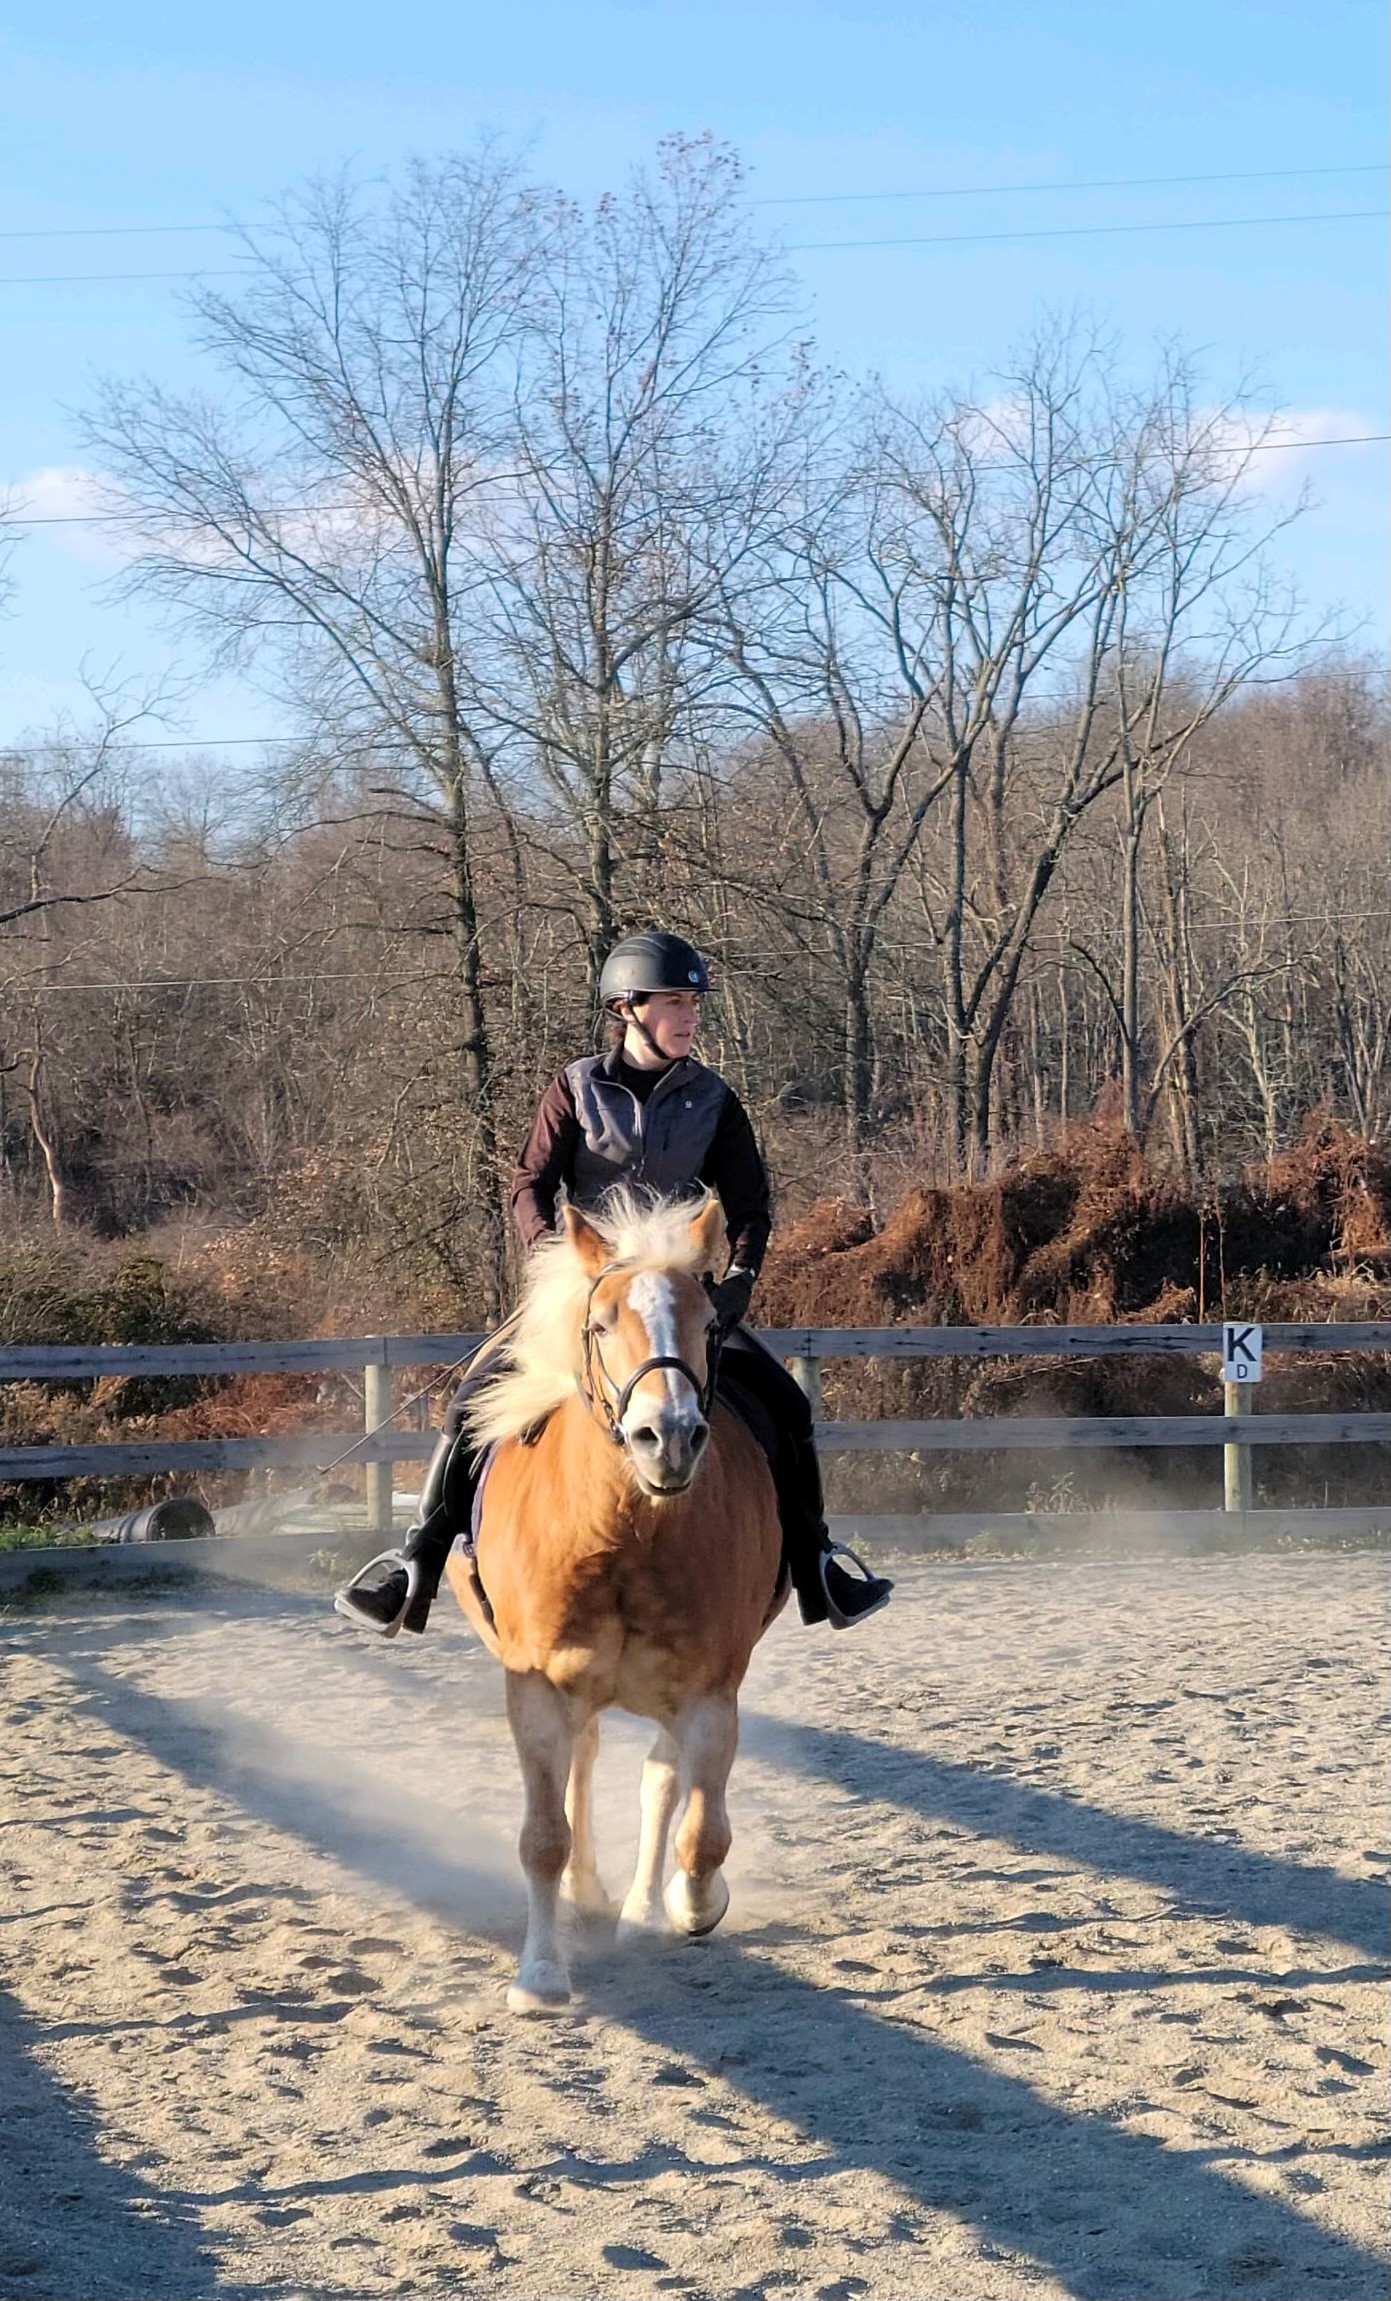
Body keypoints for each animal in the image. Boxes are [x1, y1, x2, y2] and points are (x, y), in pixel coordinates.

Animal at [442, 1189, 787, 2014]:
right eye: (600, 1324)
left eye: (708, 1323)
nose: (668, 1436)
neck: (623, 1534)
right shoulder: (536, 1686)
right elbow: (543, 1833)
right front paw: (539, 1975)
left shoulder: (709, 1692)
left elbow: (702, 1830)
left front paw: (694, 1904)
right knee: (588, 1764)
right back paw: (590, 1891)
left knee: (662, 1781)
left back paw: (640, 1907)